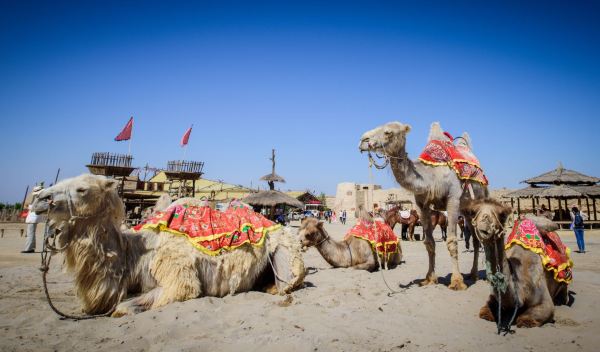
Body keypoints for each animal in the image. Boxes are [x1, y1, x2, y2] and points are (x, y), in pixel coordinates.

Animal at [32, 175, 304, 318]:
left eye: (82, 189)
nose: (39, 199)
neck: (136, 253)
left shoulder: (178, 279)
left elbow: (121, 308)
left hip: (287, 253)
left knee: (288, 282)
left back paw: (272, 288)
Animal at [358, 121, 490, 288]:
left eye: (388, 132)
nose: (363, 140)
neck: (431, 177)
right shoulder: (422, 204)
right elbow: (429, 242)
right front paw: (429, 278)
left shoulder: (453, 199)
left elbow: (452, 241)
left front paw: (457, 282)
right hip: (466, 210)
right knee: (475, 239)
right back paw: (473, 274)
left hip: (479, 199)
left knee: (481, 237)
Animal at [462, 199, 568, 328]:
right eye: (473, 212)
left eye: (502, 215)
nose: (485, 222)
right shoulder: (493, 298)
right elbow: (485, 312)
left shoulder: (544, 300)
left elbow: (526, 319)